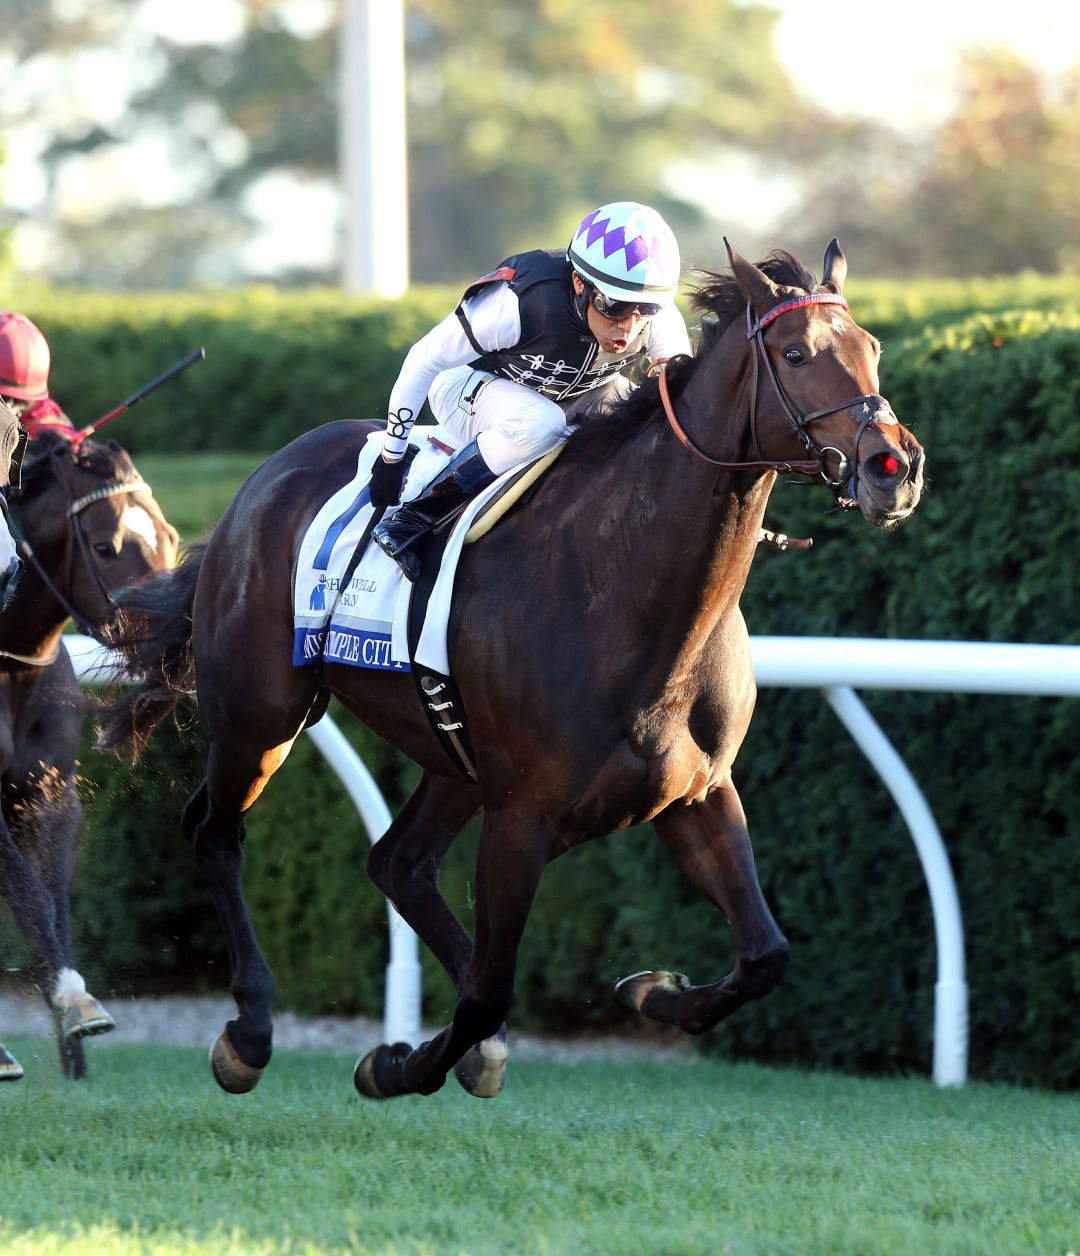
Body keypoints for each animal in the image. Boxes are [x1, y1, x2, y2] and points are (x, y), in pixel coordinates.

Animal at [0, 431, 179, 1081]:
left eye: (169, 534)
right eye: (106, 546)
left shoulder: (49, 795)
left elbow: (53, 904)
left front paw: (74, 1052)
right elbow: (28, 895)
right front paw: (75, 1001)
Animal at [97, 240, 924, 1101]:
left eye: (872, 348)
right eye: (795, 354)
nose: (894, 465)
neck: (624, 589)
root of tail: (259, 481)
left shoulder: (696, 791)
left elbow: (765, 955)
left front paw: (653, 991)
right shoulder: (522, 818)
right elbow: (487, 992)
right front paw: (397, 1064)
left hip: (450, 754)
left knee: (399, 863)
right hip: (261, 713)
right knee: (216, 831)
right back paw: (251, 1032)